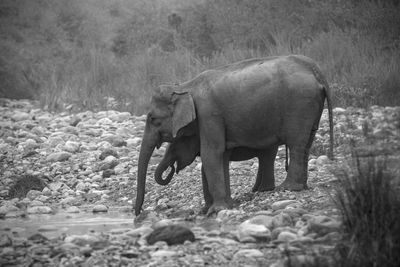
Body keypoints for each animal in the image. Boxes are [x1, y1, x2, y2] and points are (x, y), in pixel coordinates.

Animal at [136, 55, 332, 217]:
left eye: (152, 119)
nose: (137, 214)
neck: (184, 86)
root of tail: (316, 71)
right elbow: (220, 156)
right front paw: (220, 207)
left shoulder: (209, 114)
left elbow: (211, 154)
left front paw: (216, 210)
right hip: (310, 106)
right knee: (306, 142)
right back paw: (298, 187)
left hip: (299, 104)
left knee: (295, 143)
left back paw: (287, 188)